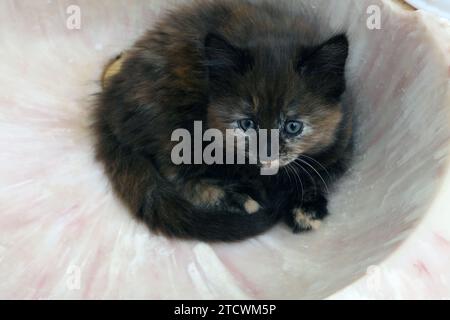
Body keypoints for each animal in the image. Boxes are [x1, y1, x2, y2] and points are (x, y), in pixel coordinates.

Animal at [93, 0, 354, 240]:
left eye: (292, 126)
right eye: (247, 124)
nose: (267, 154)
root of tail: (109, 102)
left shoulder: (343, 141)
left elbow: (322, 172)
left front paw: (307, 209)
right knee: (175, 173)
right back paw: (239, 200)